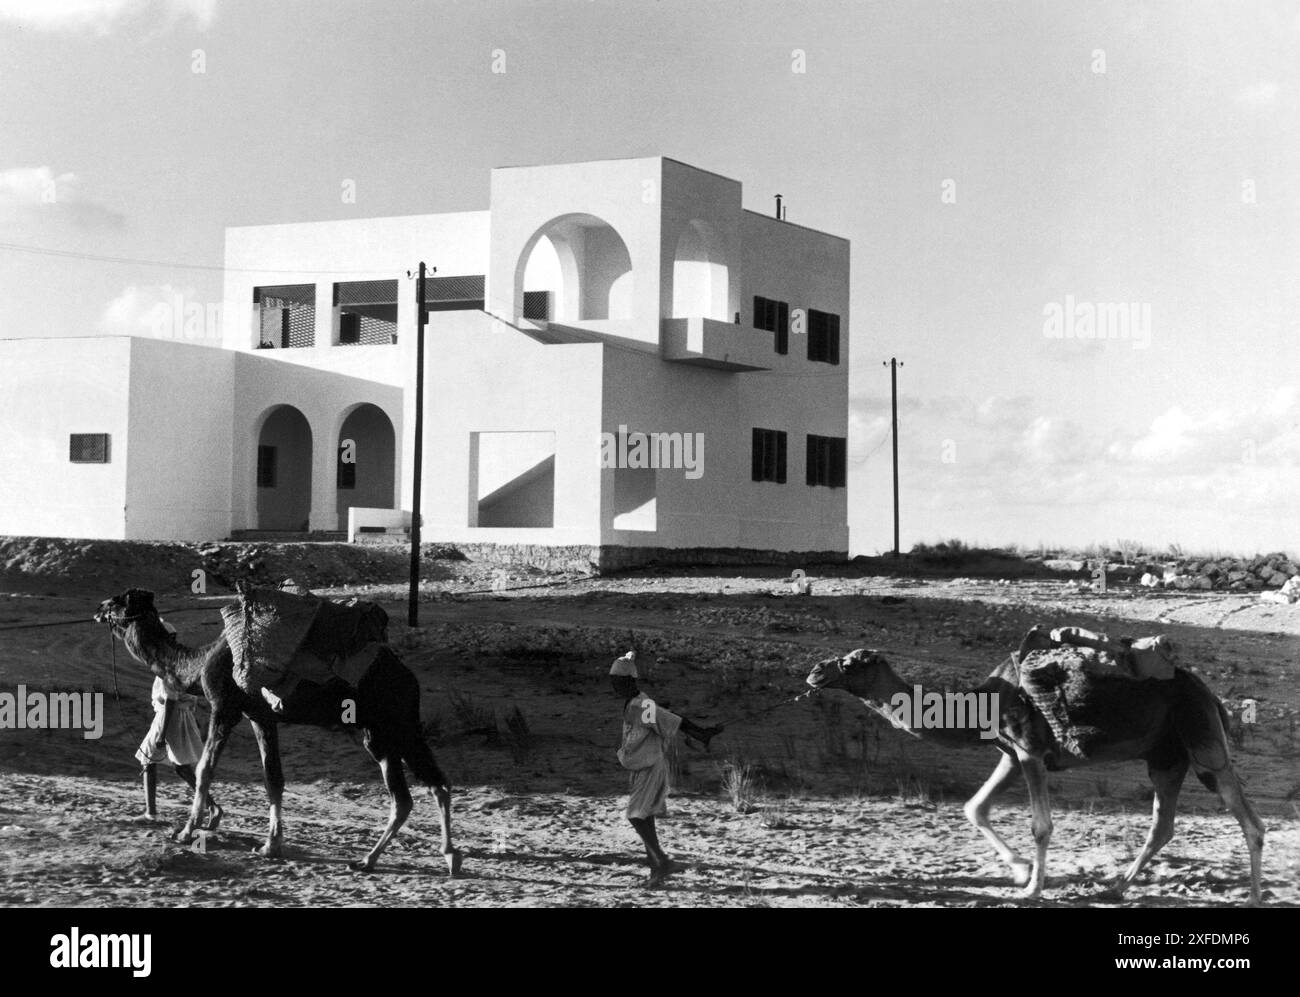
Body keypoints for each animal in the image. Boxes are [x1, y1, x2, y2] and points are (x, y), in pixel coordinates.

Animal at [92, 587, 457, 878]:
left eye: (117, 601)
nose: (97, 609)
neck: (196, 664)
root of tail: (409, 677)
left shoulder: (224, 705)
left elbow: (204, 768)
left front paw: (185, 832)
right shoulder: (260, 715)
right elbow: (273, 777)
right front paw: (270, 845)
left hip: (390, 722)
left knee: (413, 792)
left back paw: (382, 860)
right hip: (388, 728)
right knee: (425, 788)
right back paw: (434, 857)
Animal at [806, 639, 1263, 904]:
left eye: (851, 663)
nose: (814, 672)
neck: (981, 704)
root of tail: (1209, 694)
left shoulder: (1030, 751)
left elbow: (1040, 825)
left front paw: (1032, 887)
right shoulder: (1011, 754)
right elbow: (975, 808)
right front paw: (1021, 868)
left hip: (1200, 740)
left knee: (1248, 819)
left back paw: (1255, 897)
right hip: (1165, 757)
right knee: (1162, 824)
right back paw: (1114, 887)